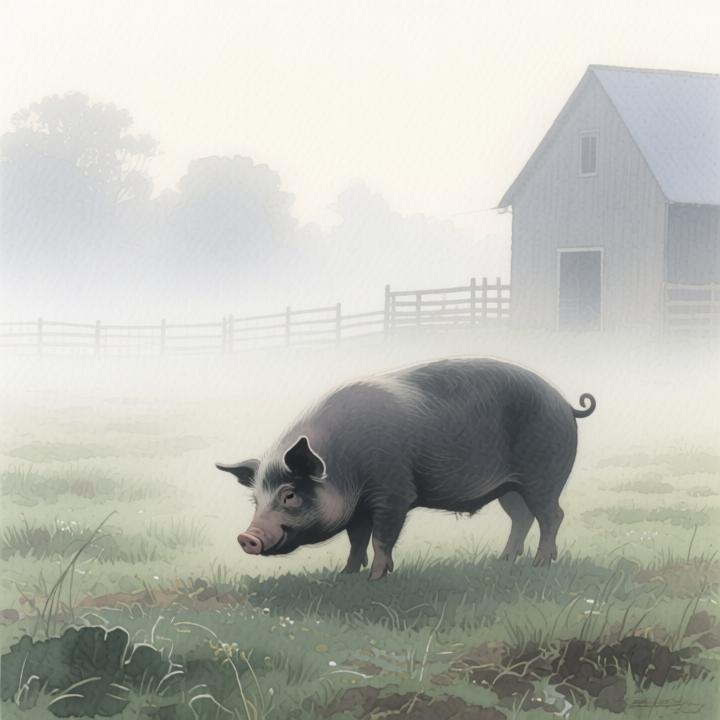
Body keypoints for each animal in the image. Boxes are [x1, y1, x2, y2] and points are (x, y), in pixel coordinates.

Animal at [216, 358, 596, 579]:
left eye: (290, 495)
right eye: (255, 500)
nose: (246, 536)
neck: (344, 466)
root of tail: (566, 404)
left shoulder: (394, 492)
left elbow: (382, 538)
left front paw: (376, 578)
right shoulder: (359, 508)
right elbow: (356, 539)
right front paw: (346, 575)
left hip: (543, 475)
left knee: (552, 515)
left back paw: (540, 564)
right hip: (510, 488)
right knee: (522, 517)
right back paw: (503, 561)